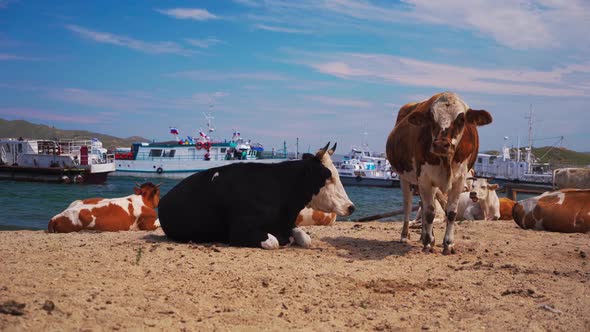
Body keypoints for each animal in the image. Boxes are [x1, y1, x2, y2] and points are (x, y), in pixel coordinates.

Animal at [156, 143, 356, 249]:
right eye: (327, 176)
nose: (351, 207)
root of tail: (166, 196)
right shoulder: (240, 230)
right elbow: (274, 241)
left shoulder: (288, 223)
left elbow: (305, 238)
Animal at [388, 92, 494, 253]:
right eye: (431, 118)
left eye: (461, 119)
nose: (440, 144)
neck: (446, 161)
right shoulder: (424, 178)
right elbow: (430, 211)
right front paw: (429, 242)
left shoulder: (460, 180)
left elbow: (451, 212)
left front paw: (448, 243)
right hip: (405, 178)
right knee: (408, 205)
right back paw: (406, 235)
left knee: (422, 204)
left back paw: (424, 235)